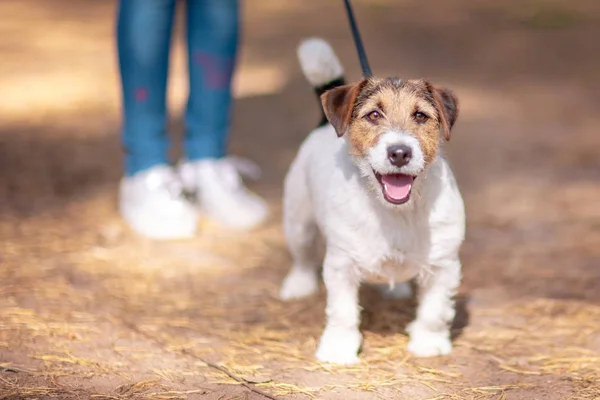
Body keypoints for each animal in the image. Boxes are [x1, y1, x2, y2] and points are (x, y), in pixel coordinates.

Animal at [278, 38, 466, 366]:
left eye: (420, 116)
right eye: (374, 115)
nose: (400, 152)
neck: (396, 212)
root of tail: (323, 125)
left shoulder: (444, 265)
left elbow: (434, 311)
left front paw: (428, 343)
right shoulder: (340, 265)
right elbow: (342, 313)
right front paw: (339, 348)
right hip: (298, 221)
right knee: (302, 256)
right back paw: (298, 285)